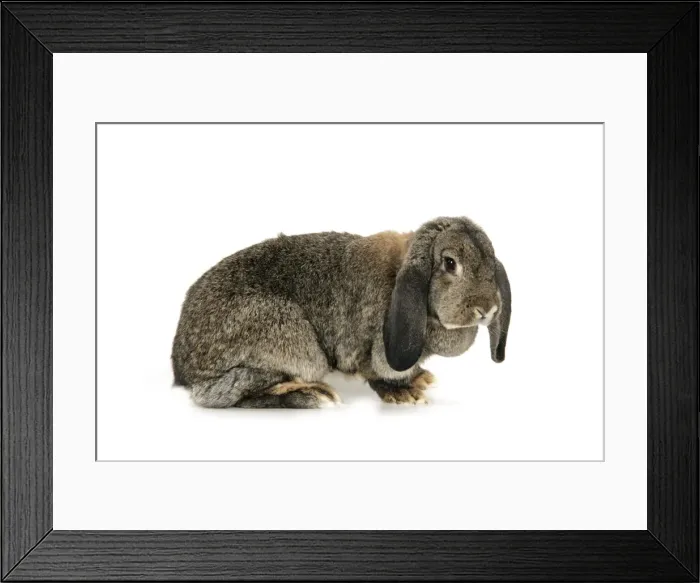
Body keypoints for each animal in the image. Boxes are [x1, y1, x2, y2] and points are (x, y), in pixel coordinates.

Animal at [171, 216, 511, 408]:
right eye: (450, 263)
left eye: (490, 259)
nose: (488, 309)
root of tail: (183, 370)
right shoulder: (373, 350)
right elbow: (378, 372)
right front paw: (404, 394)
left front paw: (420, 379)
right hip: (293, 342)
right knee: (220, 395)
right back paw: (313, 396)